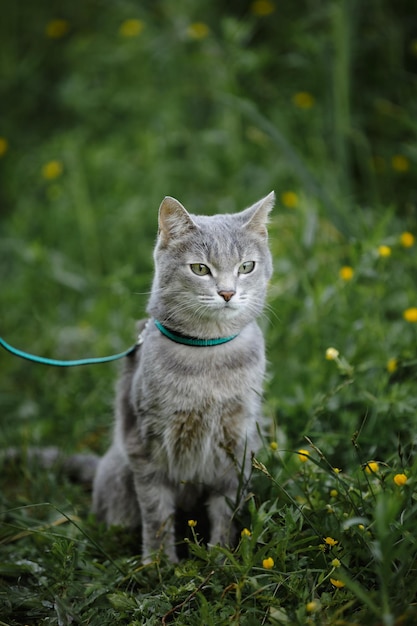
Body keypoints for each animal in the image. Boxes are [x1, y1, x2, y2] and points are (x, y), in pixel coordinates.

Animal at [92, 194, 272, 560]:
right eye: (200, 269)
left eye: (246, 267)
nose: (228, 293)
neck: (209, 359)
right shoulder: (145, 444)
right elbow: (156, 512)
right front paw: (160, 563)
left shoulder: (237, 441)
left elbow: (226, 508)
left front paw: (221, 557)